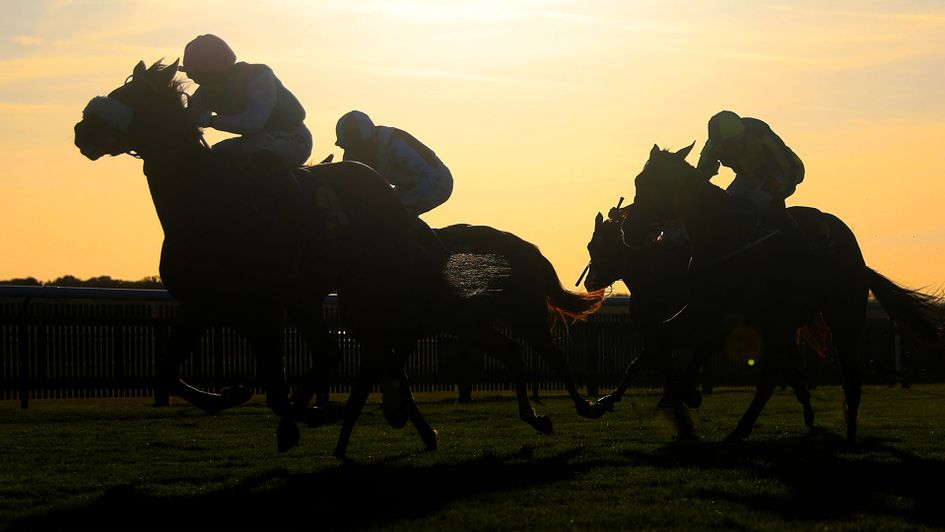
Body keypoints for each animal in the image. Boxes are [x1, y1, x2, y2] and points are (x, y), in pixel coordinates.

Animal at [608, 143, 940, 442]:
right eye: (639, 181)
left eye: (660, 185)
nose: (627, 229)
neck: (722, 234)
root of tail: (857, 258)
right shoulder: (702, 308)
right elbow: (661, 336)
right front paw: (676, 394)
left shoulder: (730, 318)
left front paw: (684, 395)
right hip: (784, 324)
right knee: (778, 376)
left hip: (842, 317)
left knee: (844, 378)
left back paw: (844, 435)